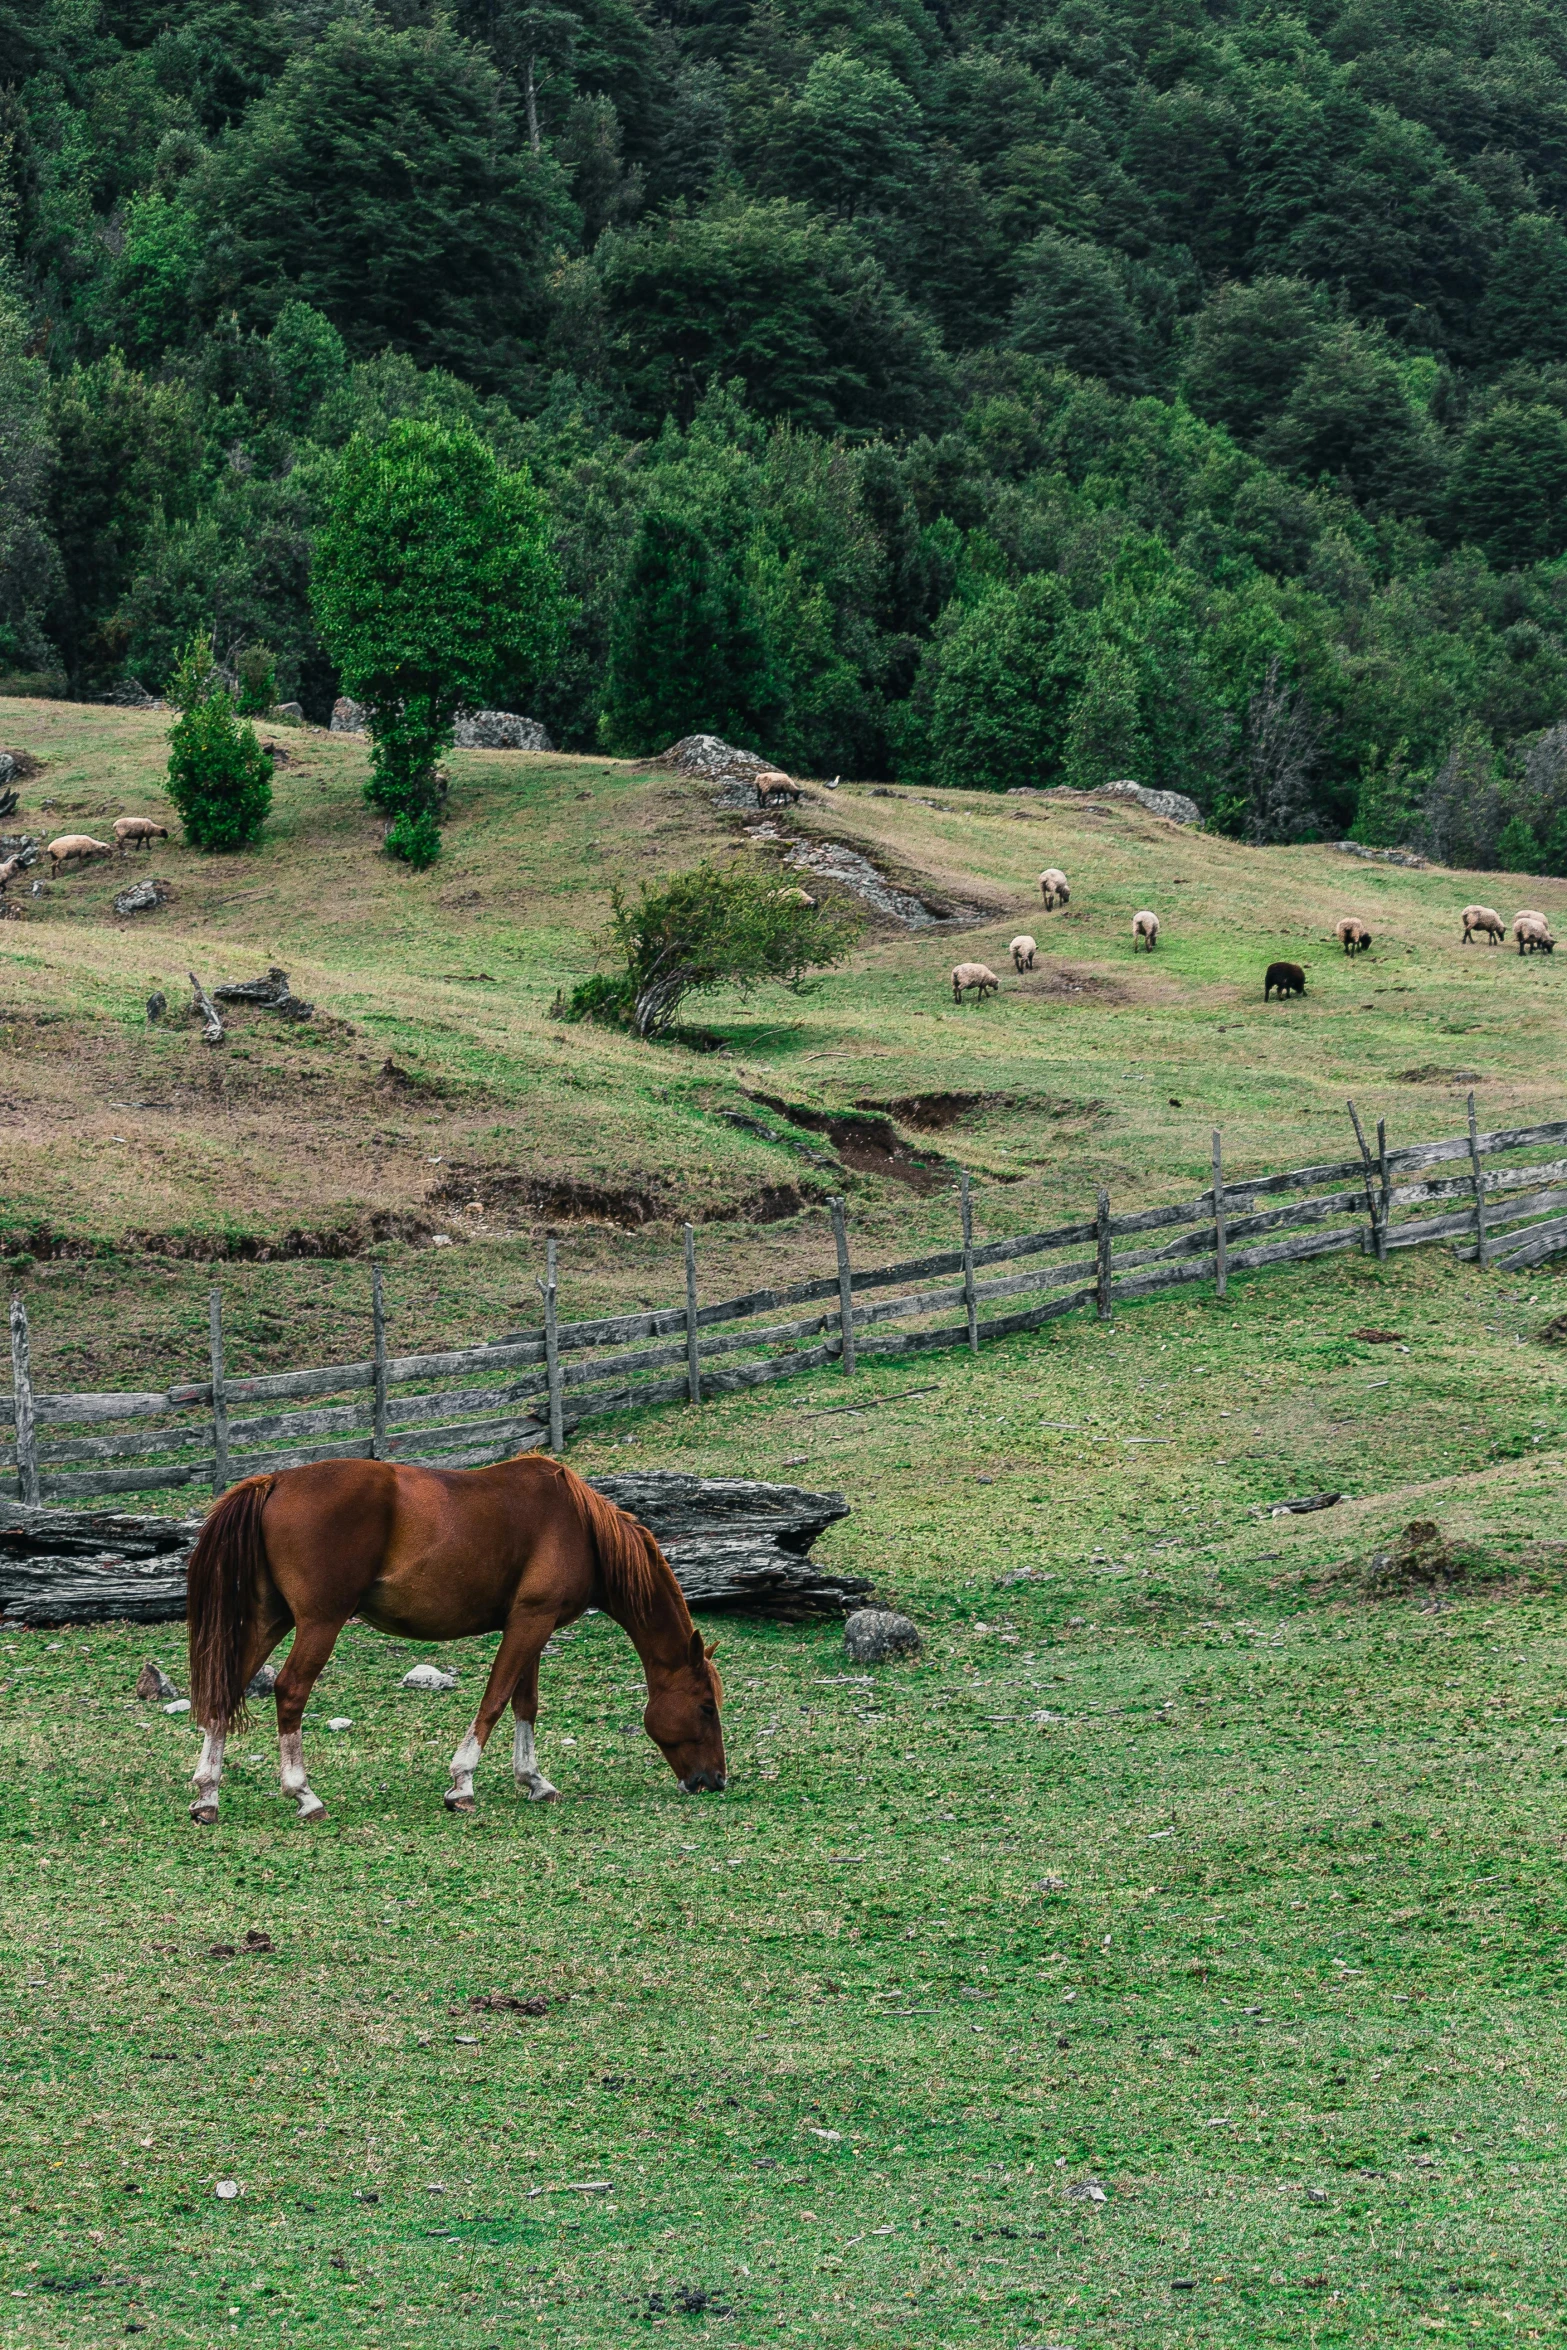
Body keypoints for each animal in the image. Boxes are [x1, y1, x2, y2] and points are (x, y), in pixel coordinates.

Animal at [182, 1457, 728, 1823]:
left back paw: (207, 1794)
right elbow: (495, 1700)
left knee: (226, 1691)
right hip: (319, 1622)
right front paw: (462, 1783)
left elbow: (525, 1704)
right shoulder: (530, 1622)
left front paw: (534, 1780)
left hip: (270, 1620)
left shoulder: (532, 1623)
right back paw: (303, 1793)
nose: (716, 1780)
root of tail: (273, 1481)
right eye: (706, 1707)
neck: (578, 1525)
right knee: (290, 1691)